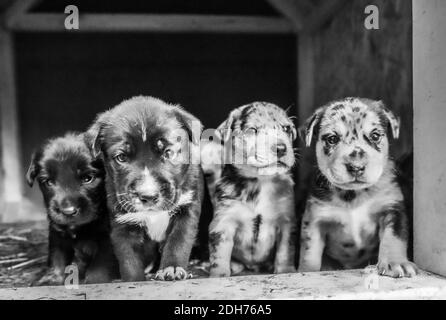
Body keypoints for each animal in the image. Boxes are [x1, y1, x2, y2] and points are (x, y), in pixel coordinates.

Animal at [25, 132, 117, 284]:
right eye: (48, 182)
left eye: (88, 178)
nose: (68, 211)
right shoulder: (57, 233)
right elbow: (57, 257)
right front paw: (52, 278)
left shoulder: (108, 238)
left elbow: (100, 265)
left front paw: (93, 281)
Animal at [206, 101, 298, 276]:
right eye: (252, 130)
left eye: (286, 128)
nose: (281, 148)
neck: (260, 182)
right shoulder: (224, 221)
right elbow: (220, 252)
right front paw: (219, 274)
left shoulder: (286, 221)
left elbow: (285, 250)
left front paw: (285, 271)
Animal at [296, 97, 418, 278]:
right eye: (332, 139)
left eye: (375, 136)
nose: (356, 167)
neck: (353, 194)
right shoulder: (315, 221)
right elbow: (309, 255)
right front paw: (306, 272)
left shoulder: (392, 210)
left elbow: (394, 238)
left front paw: (396, 262)